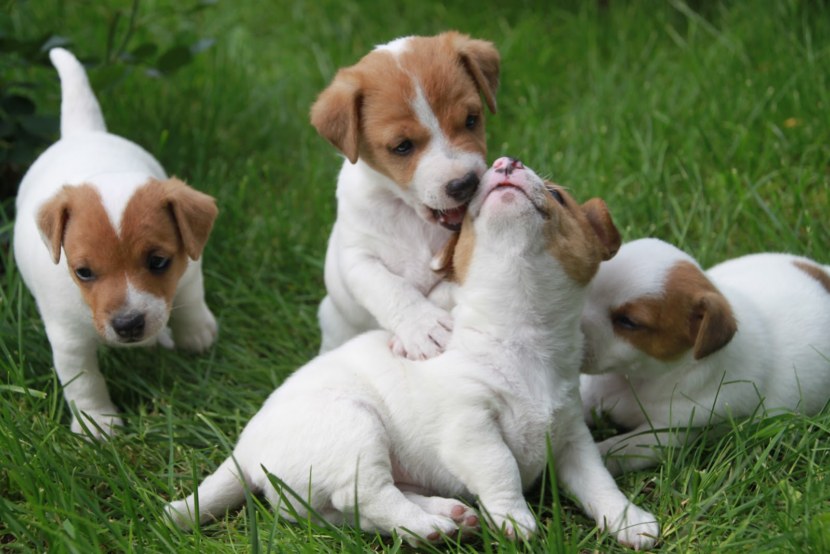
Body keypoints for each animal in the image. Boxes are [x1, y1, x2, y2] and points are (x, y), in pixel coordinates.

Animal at [14, 47, 221, 436]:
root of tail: (84, 133)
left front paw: (196, 334)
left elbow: (191, 298)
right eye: (83, 272)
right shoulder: (69, 340)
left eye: (158, 262)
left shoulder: (189, 267)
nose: (128, 325)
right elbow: (84, 382)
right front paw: (97, 423)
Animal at [166, 158, 660, 548]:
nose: (506, 162)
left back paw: (443, 515)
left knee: (350, 513)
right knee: (367, 495)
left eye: (558, 196)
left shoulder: (573, 439)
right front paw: (514, 517)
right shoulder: (471, 429)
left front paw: (628, 520)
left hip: (320, 492)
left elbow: (600, 483)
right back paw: (426, 526)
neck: (521, 332)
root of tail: (246, 446)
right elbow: (500, 467)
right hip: (354, 429)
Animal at [312, 31, 500, 358]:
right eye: (402, 146)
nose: (465, 184)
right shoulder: (356, 258)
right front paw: (424, 326)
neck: (413, 219)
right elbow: (389, 287)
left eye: (471, 119)